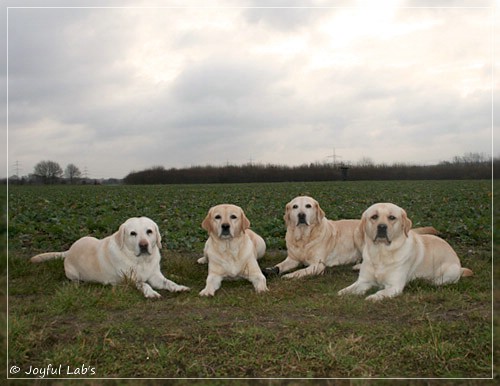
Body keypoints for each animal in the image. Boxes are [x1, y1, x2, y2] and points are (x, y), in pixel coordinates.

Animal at [336, 204, 472, 300]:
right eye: (374, 216)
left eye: (392, 217)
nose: (382, 227)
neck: (381, 253)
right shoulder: (363, 281)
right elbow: (347, 289)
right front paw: (342, 293)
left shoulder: (395, 286)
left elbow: (380, 292)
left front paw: (372, 297)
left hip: (449, 272)